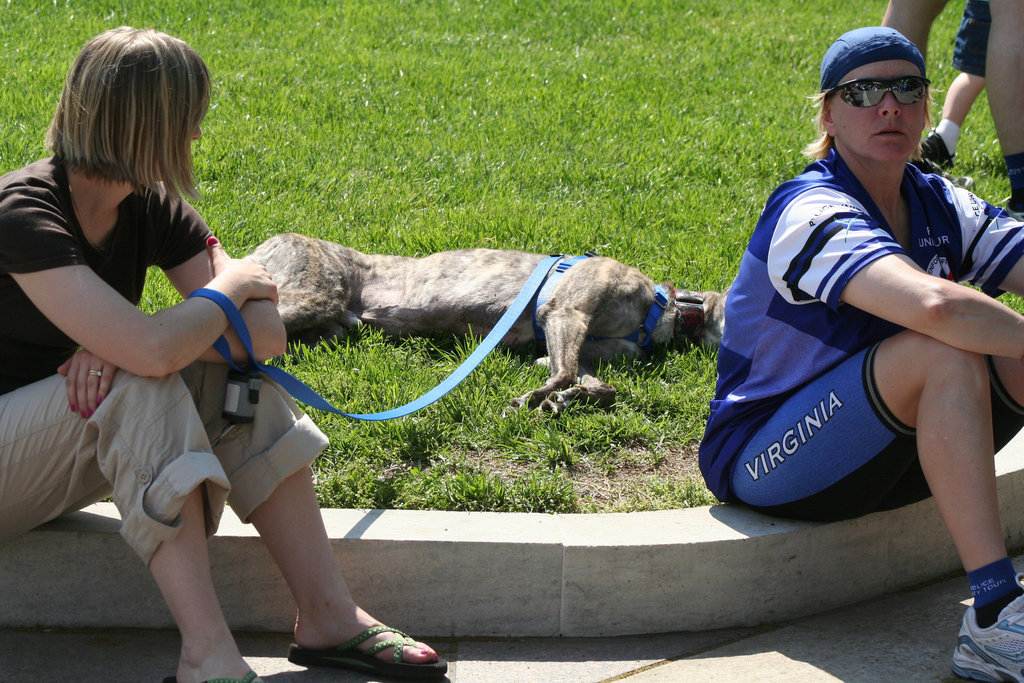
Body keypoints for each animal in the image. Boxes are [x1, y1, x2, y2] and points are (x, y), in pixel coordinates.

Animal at [249, 232, 729, 411]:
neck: (663, 307)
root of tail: (266, 244)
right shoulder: (564, 311)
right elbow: (563, 369)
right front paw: (539, 396)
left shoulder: (591, 349)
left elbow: (598, 383)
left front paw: (566, 399)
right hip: (313, 292)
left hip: (331, 326)